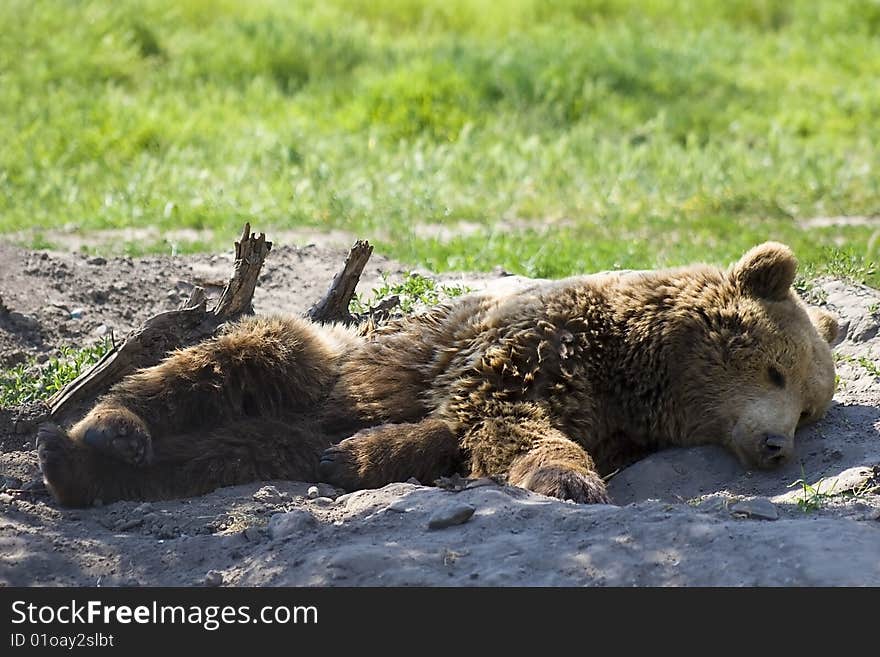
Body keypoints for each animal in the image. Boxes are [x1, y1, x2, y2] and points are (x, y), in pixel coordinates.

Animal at [39, 243, 840, 504]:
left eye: (810, 407)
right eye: (776, 372)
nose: (777, 446)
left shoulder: (609, 418)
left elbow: (455, 431)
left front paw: (357, 459)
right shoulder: (532, 346)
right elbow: (505, 418)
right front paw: (570, 480)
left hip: (277, 431)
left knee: (219, 453)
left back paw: (79, 470)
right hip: (320, 360)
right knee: (223, 362)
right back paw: (104, 432)